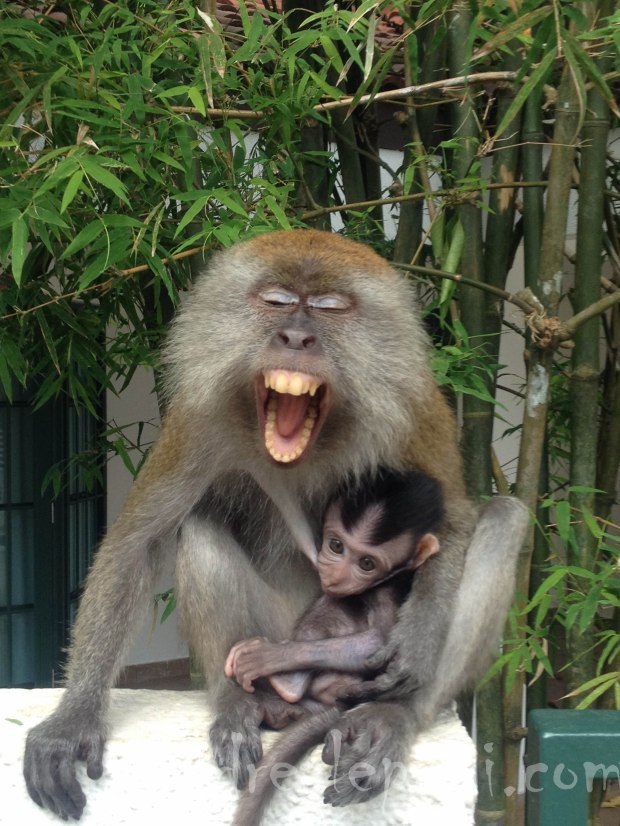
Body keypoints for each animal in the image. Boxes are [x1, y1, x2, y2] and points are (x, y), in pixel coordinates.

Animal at [225, 468, 444, 709]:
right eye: (336, 546)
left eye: (367, 564)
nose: (336, 576)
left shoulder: (385, 594)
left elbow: (380, 639)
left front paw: (273, 655)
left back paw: (288, 685)